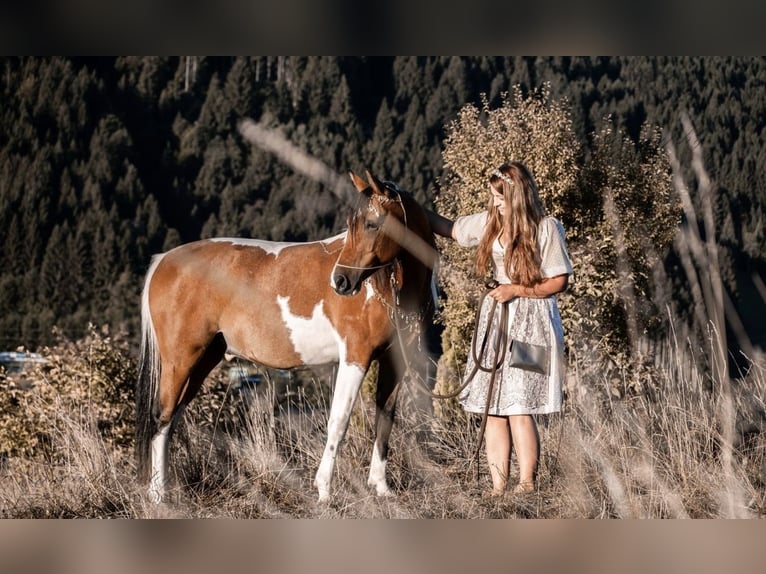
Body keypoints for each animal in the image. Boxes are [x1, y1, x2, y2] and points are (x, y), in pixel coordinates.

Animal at [135, 170, 437, 503]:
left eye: (372, 223)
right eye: (351, 225)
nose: (340, 281)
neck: (388, 291)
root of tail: (164, 260)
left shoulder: (393, 361)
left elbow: (385, 418)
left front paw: (381, 487)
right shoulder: (355, 356)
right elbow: (338, 421)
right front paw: (324, 491)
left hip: (203, 360)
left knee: (173, 417)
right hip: (180, 360)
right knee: (162, 416)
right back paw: (159, 494)